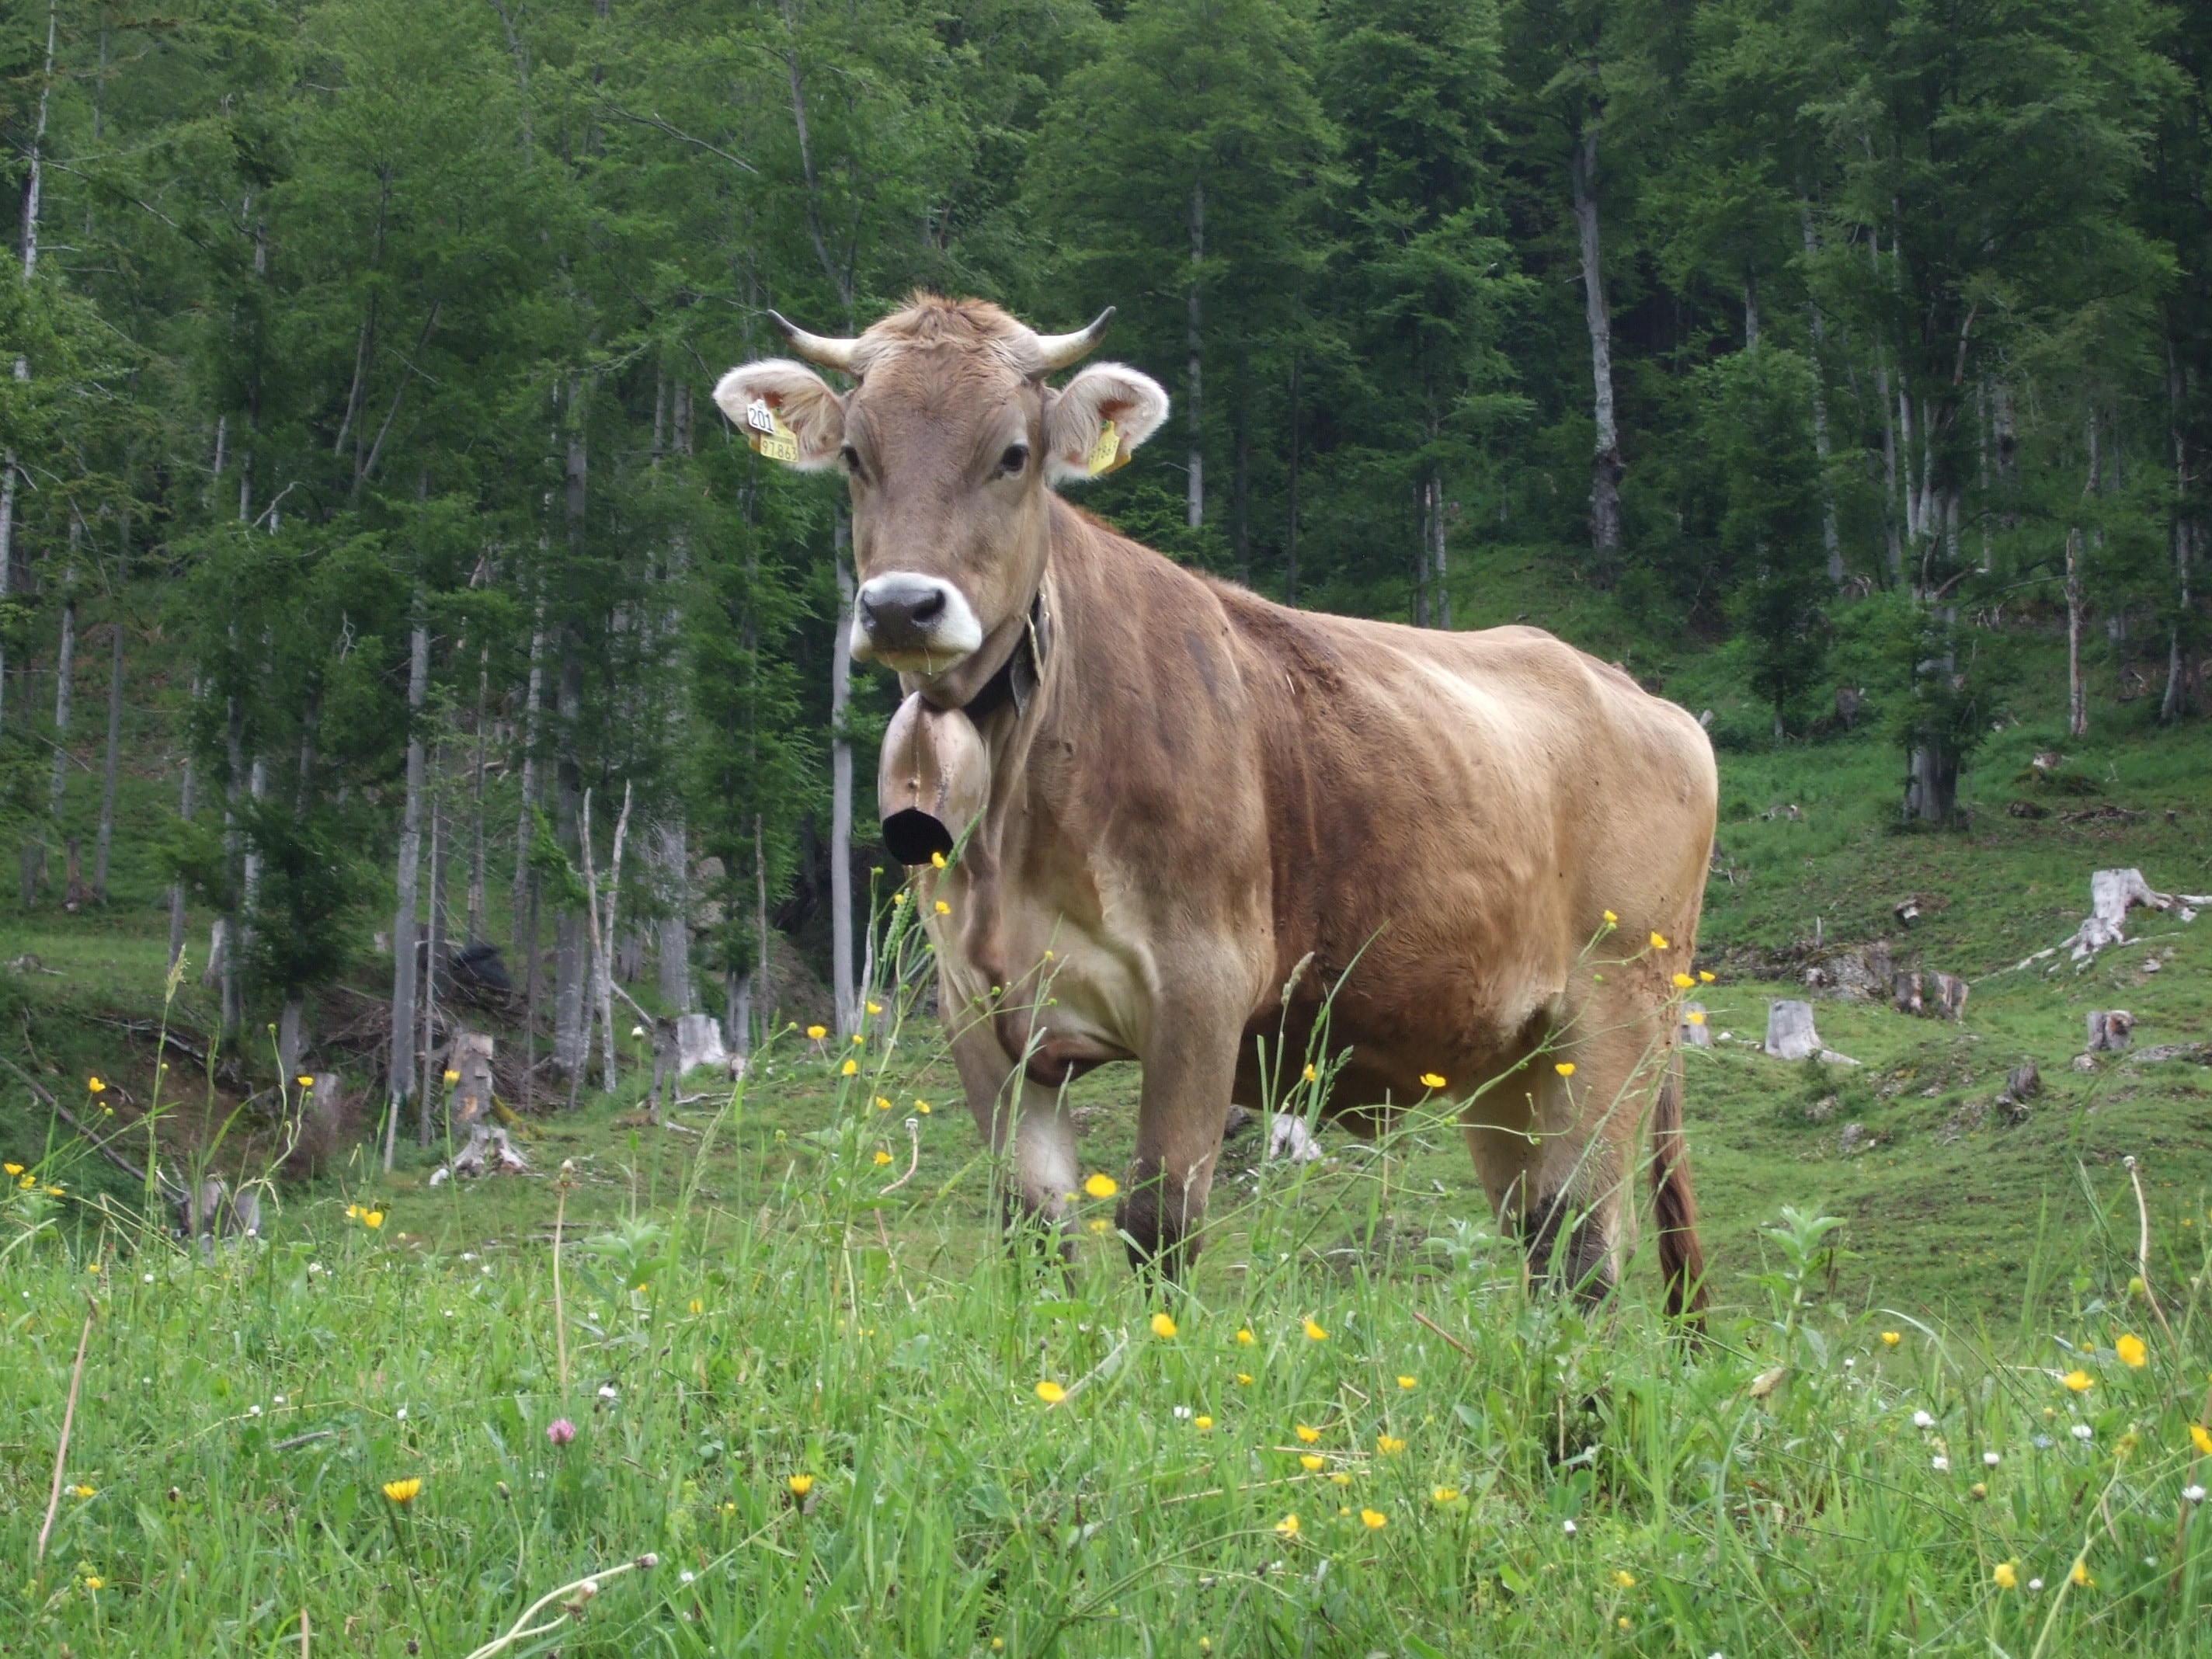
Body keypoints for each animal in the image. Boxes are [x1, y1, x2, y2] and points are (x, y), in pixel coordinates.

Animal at [716, 296, 1716, 1309]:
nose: (901, 607)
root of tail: (1637, 693)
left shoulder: (1201, 987)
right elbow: (1036, 1235)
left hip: (1615, 1012)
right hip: (1508, 1055)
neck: (1018, 821)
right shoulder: (977, 1011)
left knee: (1592, 1246)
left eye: (1013, 454)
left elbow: (1160, 1222)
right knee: (1545, 1241)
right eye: (854, 455)